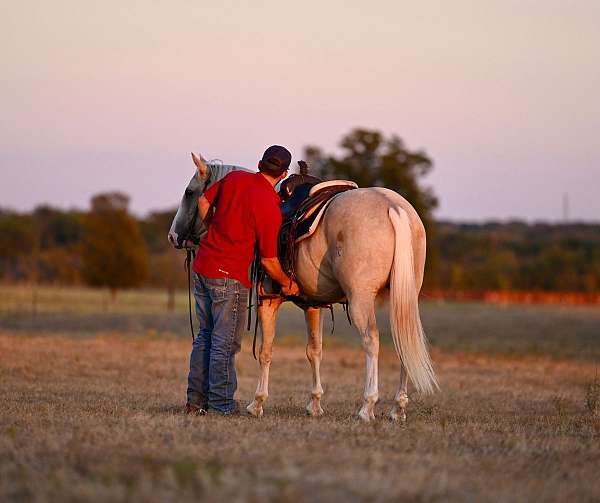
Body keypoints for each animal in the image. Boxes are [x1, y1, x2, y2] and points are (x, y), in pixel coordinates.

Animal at [169, 152, 436, 424]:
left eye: (190, 192)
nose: (173, 236)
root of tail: (393, 206)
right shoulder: (313, 305)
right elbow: (314, 351)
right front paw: (315, 404)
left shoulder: (268, 300)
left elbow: (266, 351)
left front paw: (257, 403)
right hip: (403, 298)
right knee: (403, 342)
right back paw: (398, 408)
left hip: (361, 300)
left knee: (371, 340)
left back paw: (367, 406)